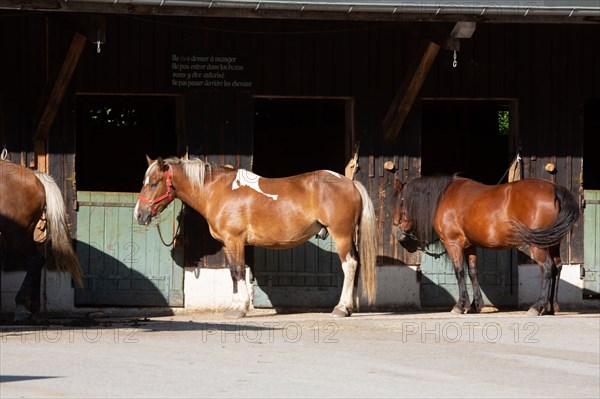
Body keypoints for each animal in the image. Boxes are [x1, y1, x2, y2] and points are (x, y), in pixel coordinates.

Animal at [136, 156, 378, 318]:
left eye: (154, 183)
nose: (139, 214)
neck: (219, 191)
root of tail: (350, 183)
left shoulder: (234, 240)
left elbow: (237, 271)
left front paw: (240, 309)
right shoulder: (230, 244)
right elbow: (233, 273)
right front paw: (235, 306)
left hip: (341, 235)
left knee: (349, 265)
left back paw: (340, 308)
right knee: (356, 264)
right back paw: (349, 307)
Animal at [392, 177, 580, 318]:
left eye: (400, 203)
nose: (397, 234)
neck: (444, 198)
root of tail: (554, 188)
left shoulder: (453, 244)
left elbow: (459, 272)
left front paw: (460, 305)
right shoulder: (470, 246)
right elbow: (473, 272)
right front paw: (475, 305)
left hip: (538, 244)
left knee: (547, 268)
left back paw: (537, 306)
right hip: (553, 242)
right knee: (557, 267)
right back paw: (550, 307)